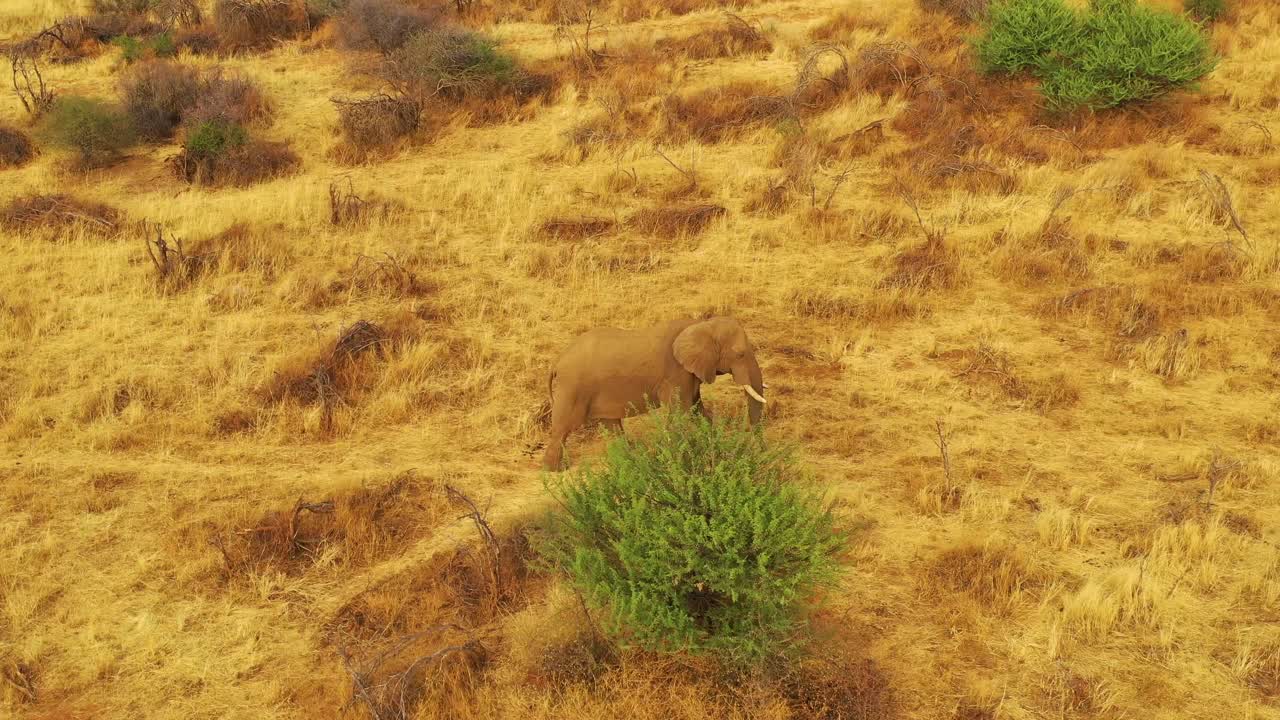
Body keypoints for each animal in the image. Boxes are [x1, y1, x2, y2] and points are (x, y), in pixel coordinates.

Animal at [541, 315, 767, 471]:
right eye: (740, 354)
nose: (762, 451)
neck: (702, 324)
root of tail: (557, 361)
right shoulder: (676, 373)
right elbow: (680, 412)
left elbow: (697, 410)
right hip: (572, 387)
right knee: (563, 428)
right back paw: (554, 471)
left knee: (611, 424)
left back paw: (629, 459)